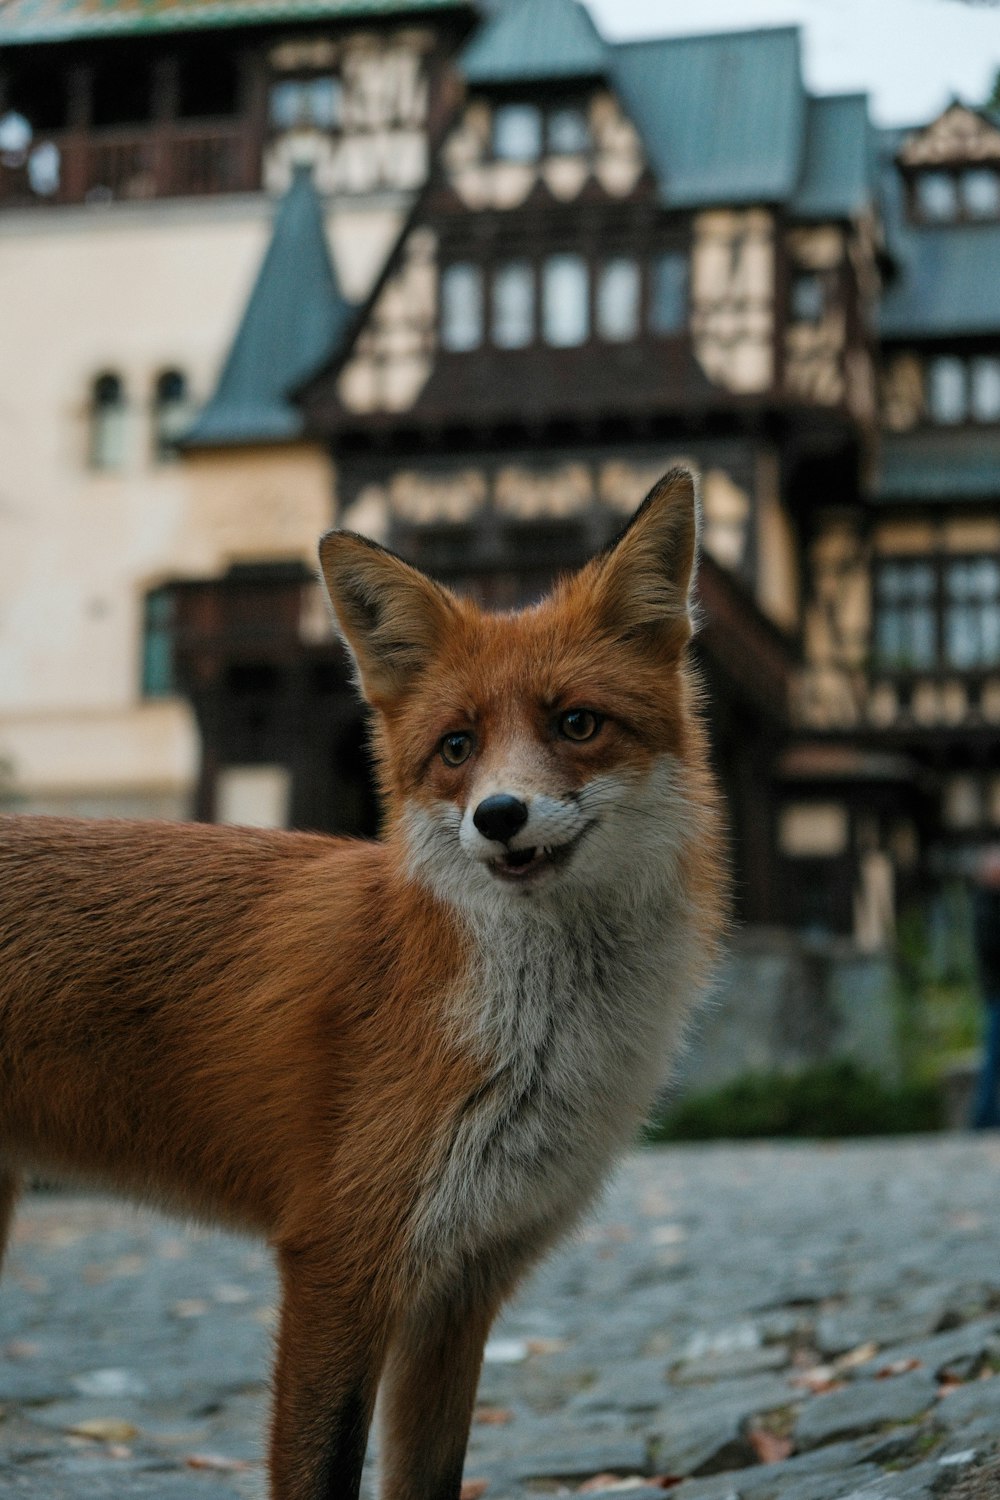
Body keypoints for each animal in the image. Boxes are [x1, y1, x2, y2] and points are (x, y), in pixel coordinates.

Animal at [0, 468, 722, 1500]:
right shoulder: (342, 1261)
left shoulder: (464, 1286)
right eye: (457, 747)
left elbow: (427, 1477)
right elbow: (322, 1470)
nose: (500, 816)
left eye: (577, 723)